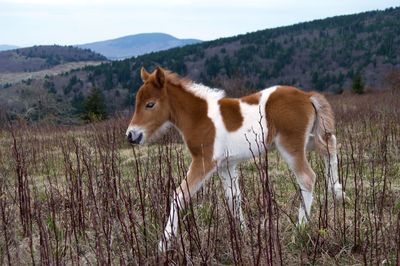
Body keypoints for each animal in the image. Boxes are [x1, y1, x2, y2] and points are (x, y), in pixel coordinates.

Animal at [126, 66, 346, 251]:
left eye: (150, 104)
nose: (131, 135)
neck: (200, 117)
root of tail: (307, 95)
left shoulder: (204, 161)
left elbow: (178, 195)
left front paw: (163, 245)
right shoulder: (226, 165)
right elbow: (234, 197)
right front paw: (243, 234)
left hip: (290, 145)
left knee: (307, 177)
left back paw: (300, 228)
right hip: (307, 140)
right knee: (330, 145)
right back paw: (337, 191)